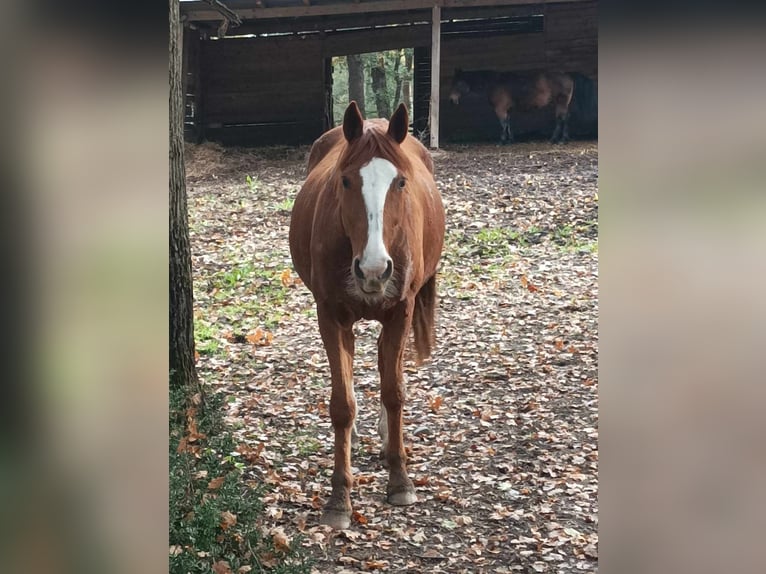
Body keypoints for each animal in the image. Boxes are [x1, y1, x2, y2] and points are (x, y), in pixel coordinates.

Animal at [288, 101, 448, 528]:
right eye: (345, 182)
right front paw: (339, 498)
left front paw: (400, 480)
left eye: (401, 183)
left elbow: (394, 393)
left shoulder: (401, 312)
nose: (374, 270)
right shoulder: (330, 316)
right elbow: (341, 405)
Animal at [450, 69, 600, 145]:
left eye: (458, 83)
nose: (452, 99)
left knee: (561, 119)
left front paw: (502, 141)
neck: (495, 83)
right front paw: (510, 140)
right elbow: (508, 124)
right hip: (561, 103)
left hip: (561, 102)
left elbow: (503, 124)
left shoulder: (500, 109)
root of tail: (567, 75)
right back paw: (562, 138)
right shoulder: (507, 110)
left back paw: (559, 140)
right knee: (565, 119)